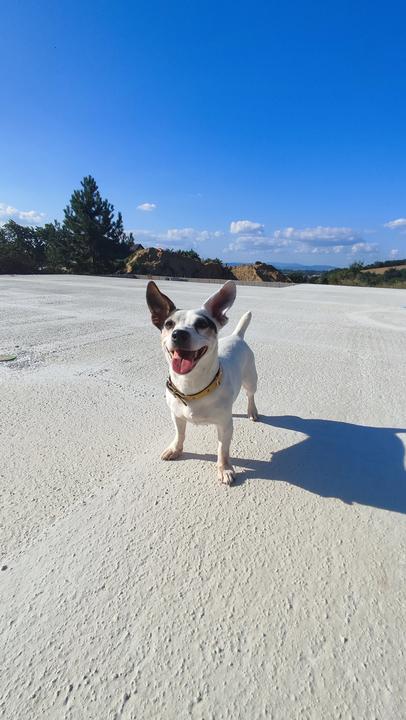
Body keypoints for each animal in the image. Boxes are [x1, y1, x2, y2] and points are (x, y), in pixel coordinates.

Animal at [146, 280, 258, 485]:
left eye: (201, 323)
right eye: (169, 324)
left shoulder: (225, 426)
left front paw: (225, 468)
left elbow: (222, 450)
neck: (191, 387)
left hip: (251, 380)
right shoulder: (177, 416)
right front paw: (175, 449)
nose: (179, 334)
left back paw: (252, 411)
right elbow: (179, 434)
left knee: (250, 395)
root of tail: (237, 335)